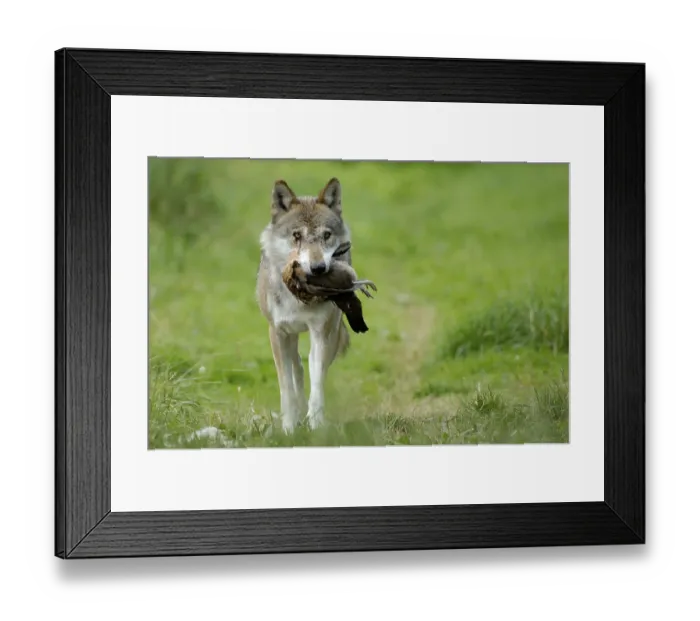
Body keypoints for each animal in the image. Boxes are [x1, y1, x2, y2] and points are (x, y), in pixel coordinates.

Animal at [256, 177, 365, 433]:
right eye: (296, 235)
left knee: (310, 368)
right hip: (291, 336)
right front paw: (289, 427)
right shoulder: (277, 333)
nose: (318, 269)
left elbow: (317, 385)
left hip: (332, 335)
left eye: (326, 235)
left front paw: (316, 427)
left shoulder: (321, 333)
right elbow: (286, 387)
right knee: (297, 367)